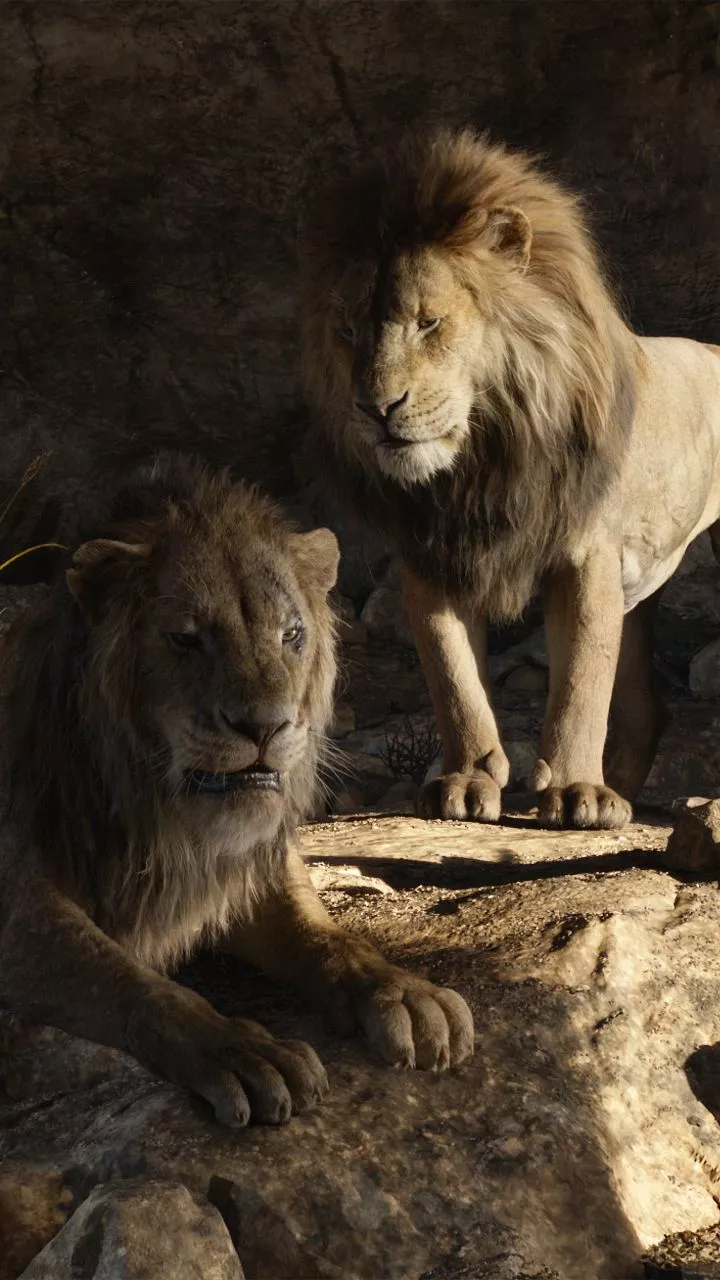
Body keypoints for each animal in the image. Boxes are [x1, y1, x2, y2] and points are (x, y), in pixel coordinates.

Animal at [0, 454, 473, 1126]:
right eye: (187, 638)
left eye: (291, 635)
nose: (264, 727)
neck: (159, 808)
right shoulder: (19, 902)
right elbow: (133, 985)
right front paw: (241, 1048)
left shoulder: (246, 867)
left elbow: (330, 938)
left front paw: (404, 992)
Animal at [300, 127, 720, 831]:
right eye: (349, 331)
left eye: (429, 321)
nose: (376, 408)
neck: (484, 461)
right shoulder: (430, 555)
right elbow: (453, 680)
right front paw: (466, 781)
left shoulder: (587, 555)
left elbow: (580, 682)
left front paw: (576, 792)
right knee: (645, 708)